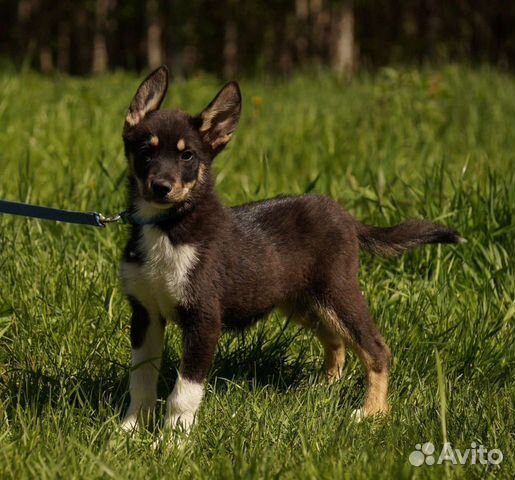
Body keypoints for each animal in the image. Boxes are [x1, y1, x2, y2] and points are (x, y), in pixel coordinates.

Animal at [120, 66, 464, 438]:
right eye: (146, 150)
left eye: (187, 155)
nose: (161, 187)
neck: (167, 229)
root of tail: (346, 216)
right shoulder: (145, 314)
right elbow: (141, 380)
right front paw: (128, 431)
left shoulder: (203, 318)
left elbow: (184, 392)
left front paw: (173, 441)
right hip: (303, 301)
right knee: (336, 341)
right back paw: (322, 389)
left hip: (337, 292)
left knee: (376, 348)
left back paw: (371, 412)